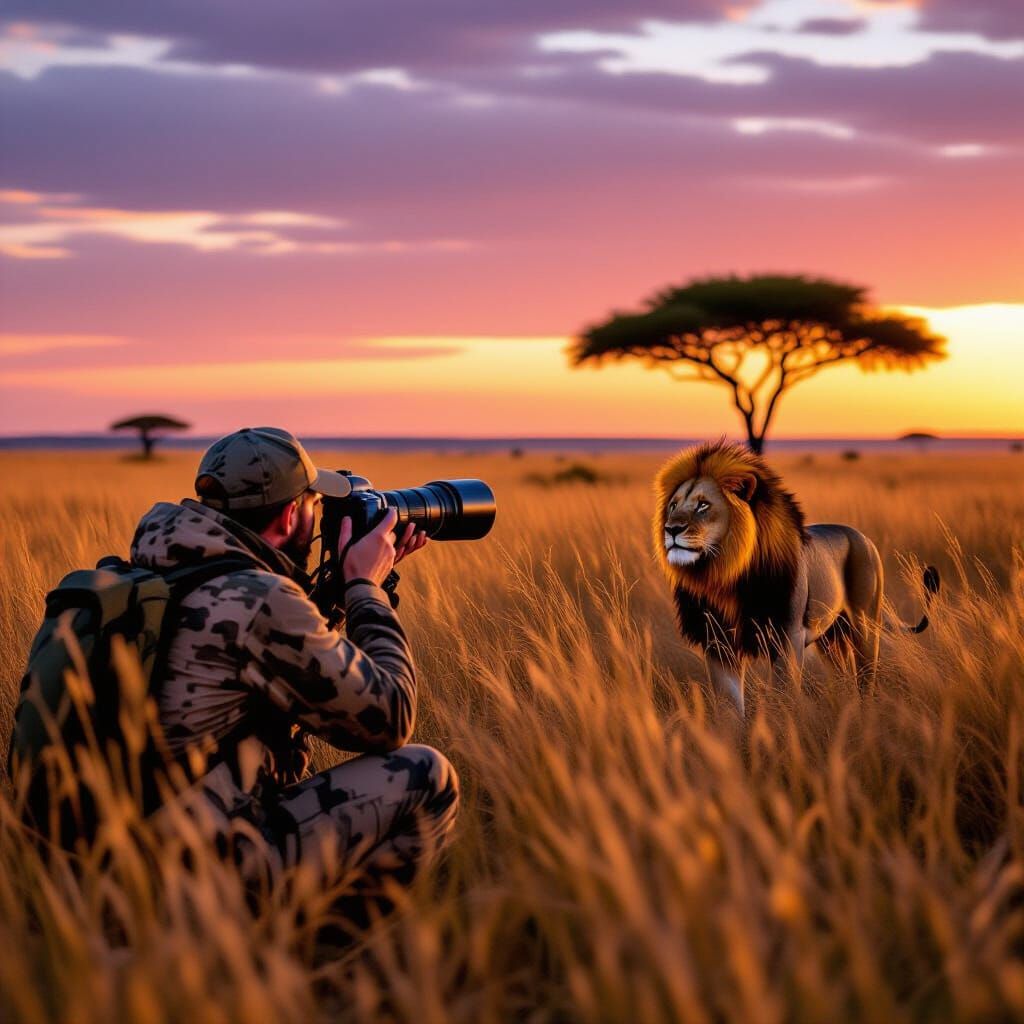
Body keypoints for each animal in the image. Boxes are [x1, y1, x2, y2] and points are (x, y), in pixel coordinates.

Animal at [653, 440, 938, 714]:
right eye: (673, 505)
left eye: (703, 505)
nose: (671, 529)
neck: (725, 575)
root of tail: (863, 537)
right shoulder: (718, 643)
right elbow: (729, 706)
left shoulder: (787, 636)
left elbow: (784, 694)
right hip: (831, 636)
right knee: (843, 673)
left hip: (864, 623)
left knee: (866, 676)